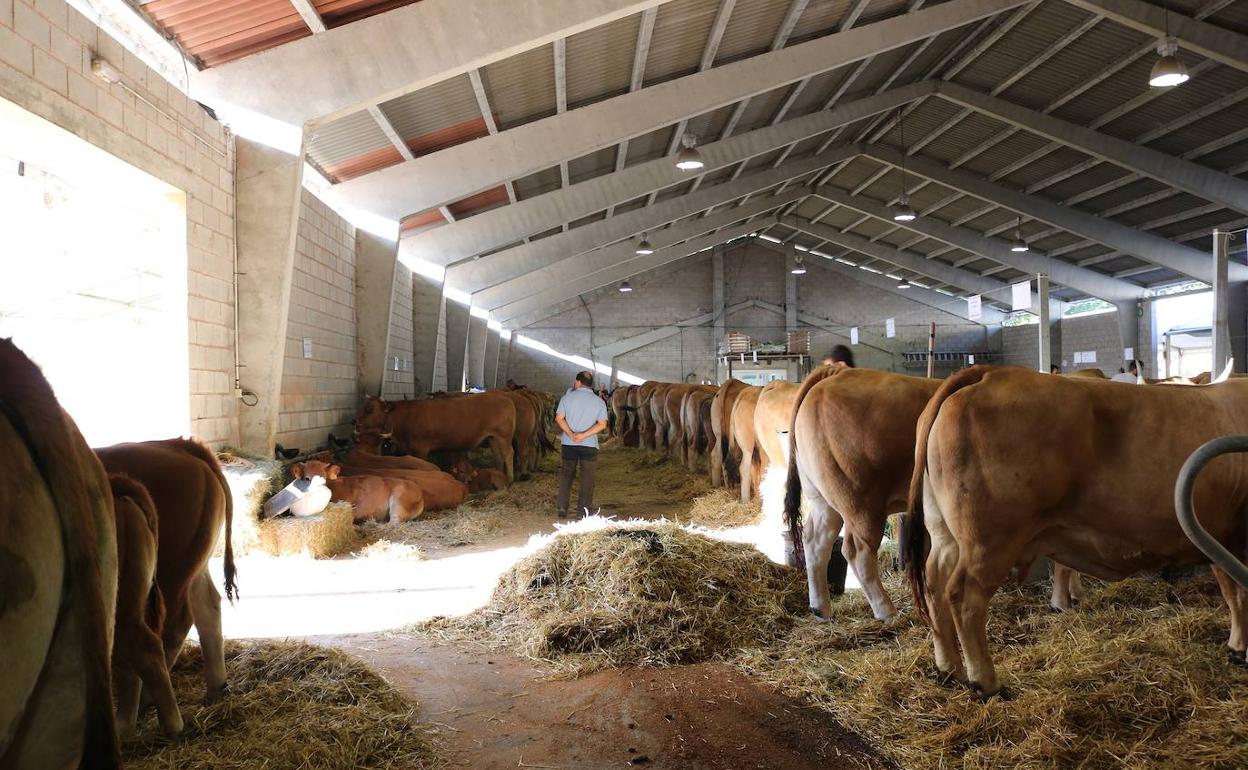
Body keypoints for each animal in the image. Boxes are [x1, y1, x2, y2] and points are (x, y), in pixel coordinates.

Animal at [97, 439, 235, 703]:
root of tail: (178, 445)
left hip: (169, 572)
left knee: (171, 626)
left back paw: (147, 700)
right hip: (194, 565)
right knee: (207, 607)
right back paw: (216, 688)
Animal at [356, 394, 516, 484]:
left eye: (369, 409)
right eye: (363, 407)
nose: (355, 421)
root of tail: (506, 398)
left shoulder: (420, 447)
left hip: (503, 436)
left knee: (508, 454)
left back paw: (510, 478)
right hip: (492, 437)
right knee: (498, 456)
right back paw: (499, 473)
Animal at [903, 366, 1248, 698]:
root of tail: (990, 373)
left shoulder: (1219, 535)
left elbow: (1232, 592)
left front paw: (1236, 647)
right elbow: (1240, 593)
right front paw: (1241, 648)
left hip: (945, 535)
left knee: (934, 585)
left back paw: (949, 669)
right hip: (989, 542)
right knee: (964, 598)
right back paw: (985, 683)